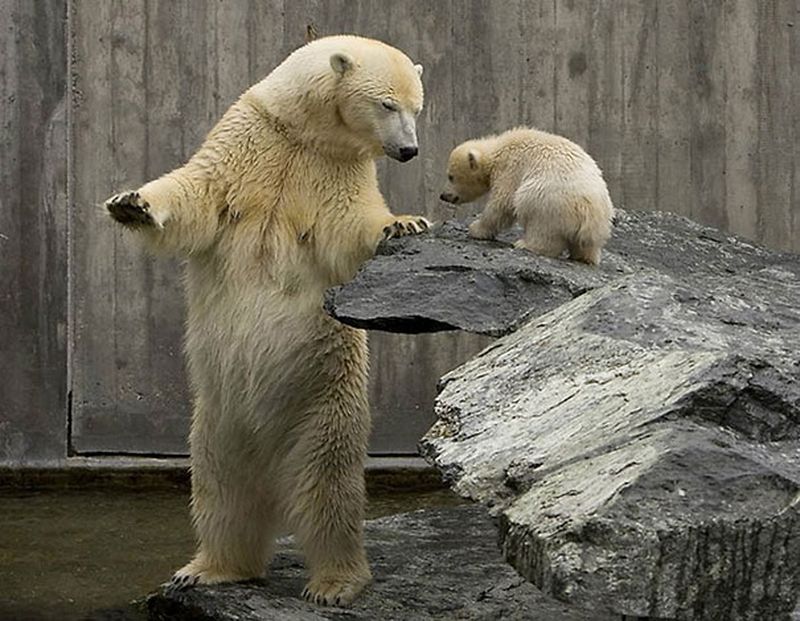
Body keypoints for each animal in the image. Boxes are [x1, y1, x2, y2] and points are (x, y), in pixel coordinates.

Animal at [108, 36, 432, 604]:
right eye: (388, 104)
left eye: (418, 108)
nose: (409, 151)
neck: (303, 132)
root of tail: (270, 449)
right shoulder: (248, 141)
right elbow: (195, 192)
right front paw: (130, 203)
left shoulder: (336, 171)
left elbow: (352, 226)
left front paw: (404, 223)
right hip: (216, 419)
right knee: (222, 491)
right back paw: (210, 567)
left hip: (325, 402)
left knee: (328, 492)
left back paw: (334, 582)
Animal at [440, 127, 616, 262]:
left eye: (450, 176)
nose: (443, 195)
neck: (497, 151)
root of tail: (590, 213)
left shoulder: (510, 168)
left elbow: (502, 203)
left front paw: (476, 228)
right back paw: (582, 257)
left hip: (547, 200)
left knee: (539, 221)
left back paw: (525, 244)